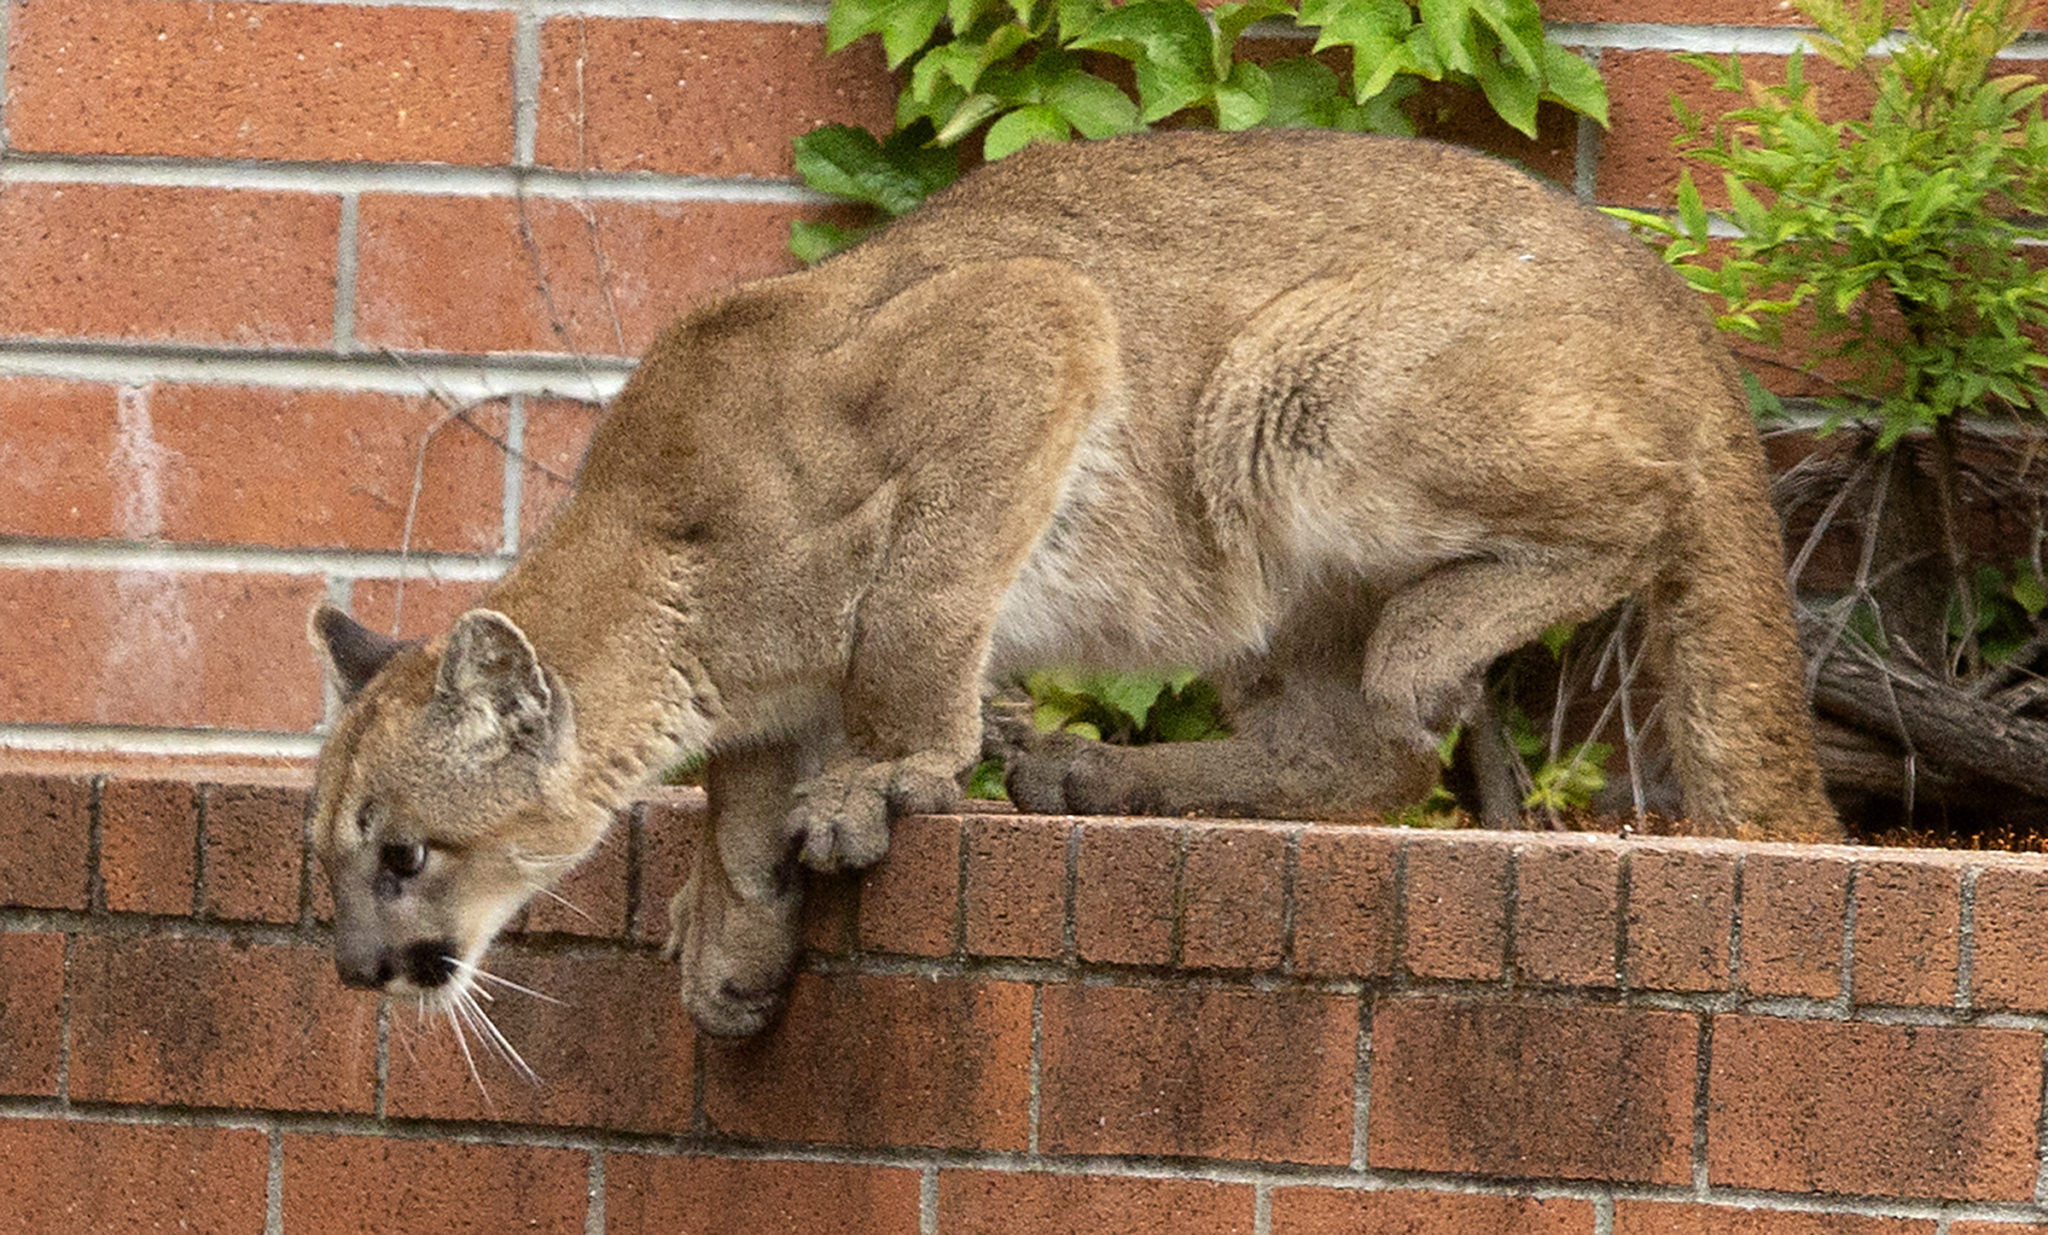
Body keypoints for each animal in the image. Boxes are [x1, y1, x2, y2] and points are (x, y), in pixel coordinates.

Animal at [303, 128, 1843, 1032]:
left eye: (405, 854)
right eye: (326, 865)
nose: (357, 968)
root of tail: (1663, 283)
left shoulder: (1031, 324)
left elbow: (912, 611)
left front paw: (892, 775)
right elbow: (736, 791)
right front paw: (731, 931)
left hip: (1285, 389)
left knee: (1629, 518)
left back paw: (1417, 639)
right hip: (1254, 567)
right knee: (1357, 755)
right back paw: (1100, 772)